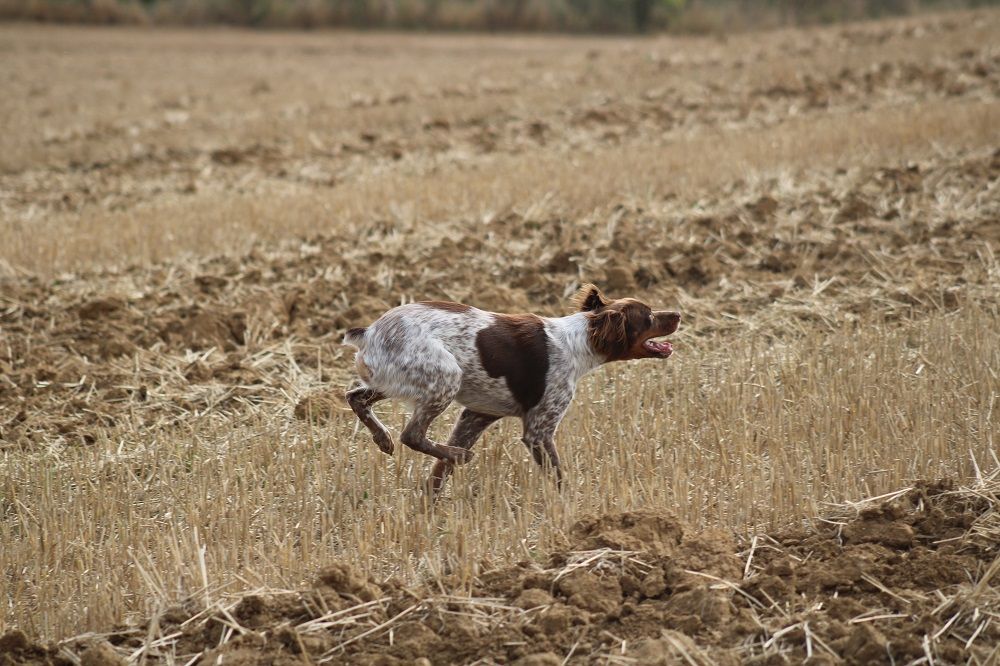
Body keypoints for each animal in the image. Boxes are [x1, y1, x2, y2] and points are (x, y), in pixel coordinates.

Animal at [344, 282, 680, 496]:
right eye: (648, 315)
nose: (678, 313)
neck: (578, 341)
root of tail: (370, 331)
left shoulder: (476, 415)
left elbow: (439, 473)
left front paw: (428, 504)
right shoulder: (538, 431)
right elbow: (558, 478)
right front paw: (573, 509)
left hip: (392, 380)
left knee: (355, 397)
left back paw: (383, 439)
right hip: (445, 377)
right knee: (411, 434)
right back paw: (453, 454)